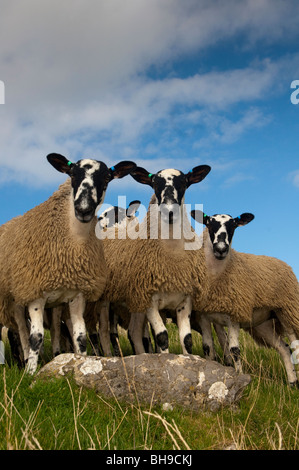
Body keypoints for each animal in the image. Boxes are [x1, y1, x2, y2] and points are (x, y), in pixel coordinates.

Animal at [0, 154, 136, 374]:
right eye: (72, 174)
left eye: (107, 178)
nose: (84, 209)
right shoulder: (35, 294)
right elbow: (36, 337)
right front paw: (30, 373)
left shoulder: (77, 295)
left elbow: (80, 337)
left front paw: (80, 363)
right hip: (16, 297)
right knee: (19, 330)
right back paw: (23, 361)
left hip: (54, 303)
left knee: (56, 329)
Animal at [102, 163, 212, 354]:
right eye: (154, 184)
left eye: (184, 182)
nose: (169, 211)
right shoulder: (149, 300)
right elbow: (162, 337)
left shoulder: (185, 301)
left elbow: (187, 339)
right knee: (104, 332)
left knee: (134, 331)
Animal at [192, 210, 299, 386]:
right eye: (208, 223)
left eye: (234, 225)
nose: (221, 249)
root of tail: (283, 263)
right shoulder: (203, 316)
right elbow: (208, 348)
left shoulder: (234, 315)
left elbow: (234, 350)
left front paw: (239, 378)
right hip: (263, 323)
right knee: (283, 347)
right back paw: (292, 383)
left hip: (287, 312)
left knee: (295, 346)